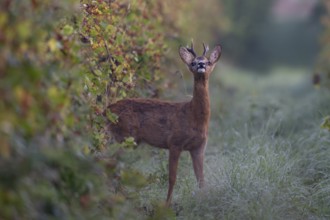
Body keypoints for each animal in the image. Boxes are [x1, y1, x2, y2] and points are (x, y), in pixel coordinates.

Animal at [106, 42, 222, 205]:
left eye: (209, 62)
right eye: (192, 62)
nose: (201, 64)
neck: (194, 117)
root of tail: (106, 110)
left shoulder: (199, 147)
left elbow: (201, 180)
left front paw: (204, 200)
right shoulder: (175, 142)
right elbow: (172, 178)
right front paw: (167, 204)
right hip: (124, 135)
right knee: (111, 160)